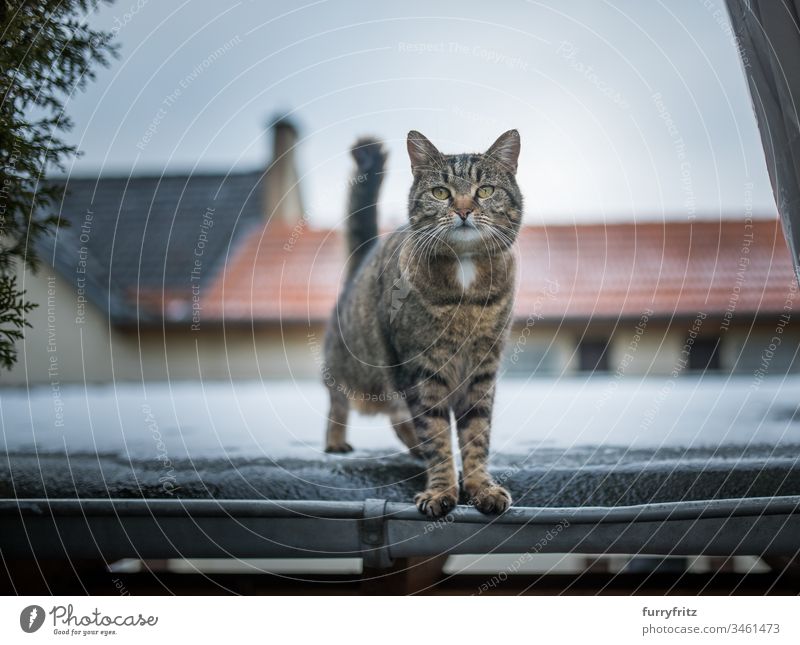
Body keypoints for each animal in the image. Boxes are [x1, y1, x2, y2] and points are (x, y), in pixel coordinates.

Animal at [322, 131, 520, 520]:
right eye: (441, 192)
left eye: (485, 190)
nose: (463, 210)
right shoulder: (422, 369)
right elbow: (437, 433)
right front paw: (442, 489)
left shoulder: (483, 368)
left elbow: (476, 432)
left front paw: (480, 486)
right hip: (353, 366)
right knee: (339, 402)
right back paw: (335, 442)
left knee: (400, 421)